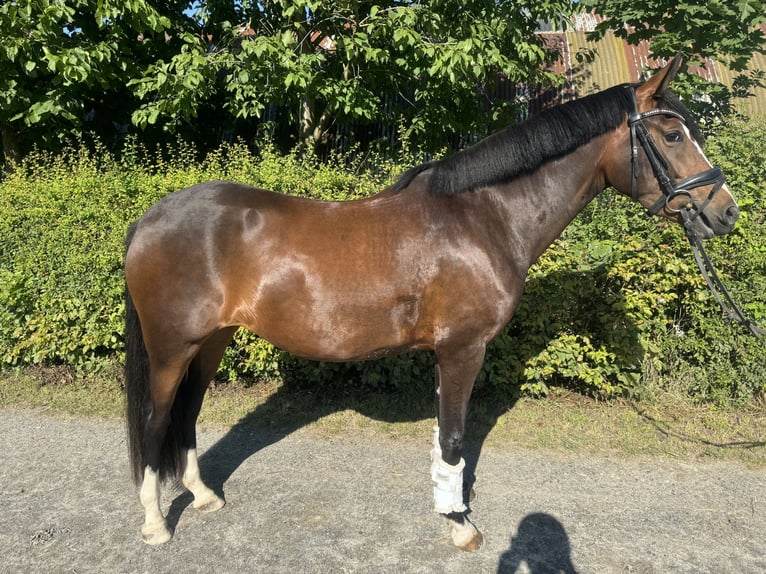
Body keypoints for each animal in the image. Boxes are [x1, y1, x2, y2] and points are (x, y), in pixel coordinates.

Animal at [124, 56, 736, 552]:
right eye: (674, 134)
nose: (725, 212)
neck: (481, 219)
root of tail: (149, 219)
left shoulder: (447, 353)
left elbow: (445, 438)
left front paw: (448, 509)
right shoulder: (464, 349)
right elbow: (455, 437)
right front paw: (461, 525)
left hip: (211, 341)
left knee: (188, 414)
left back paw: (203, 496)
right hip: (172, 347)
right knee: (156, 421)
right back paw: (154, 525)